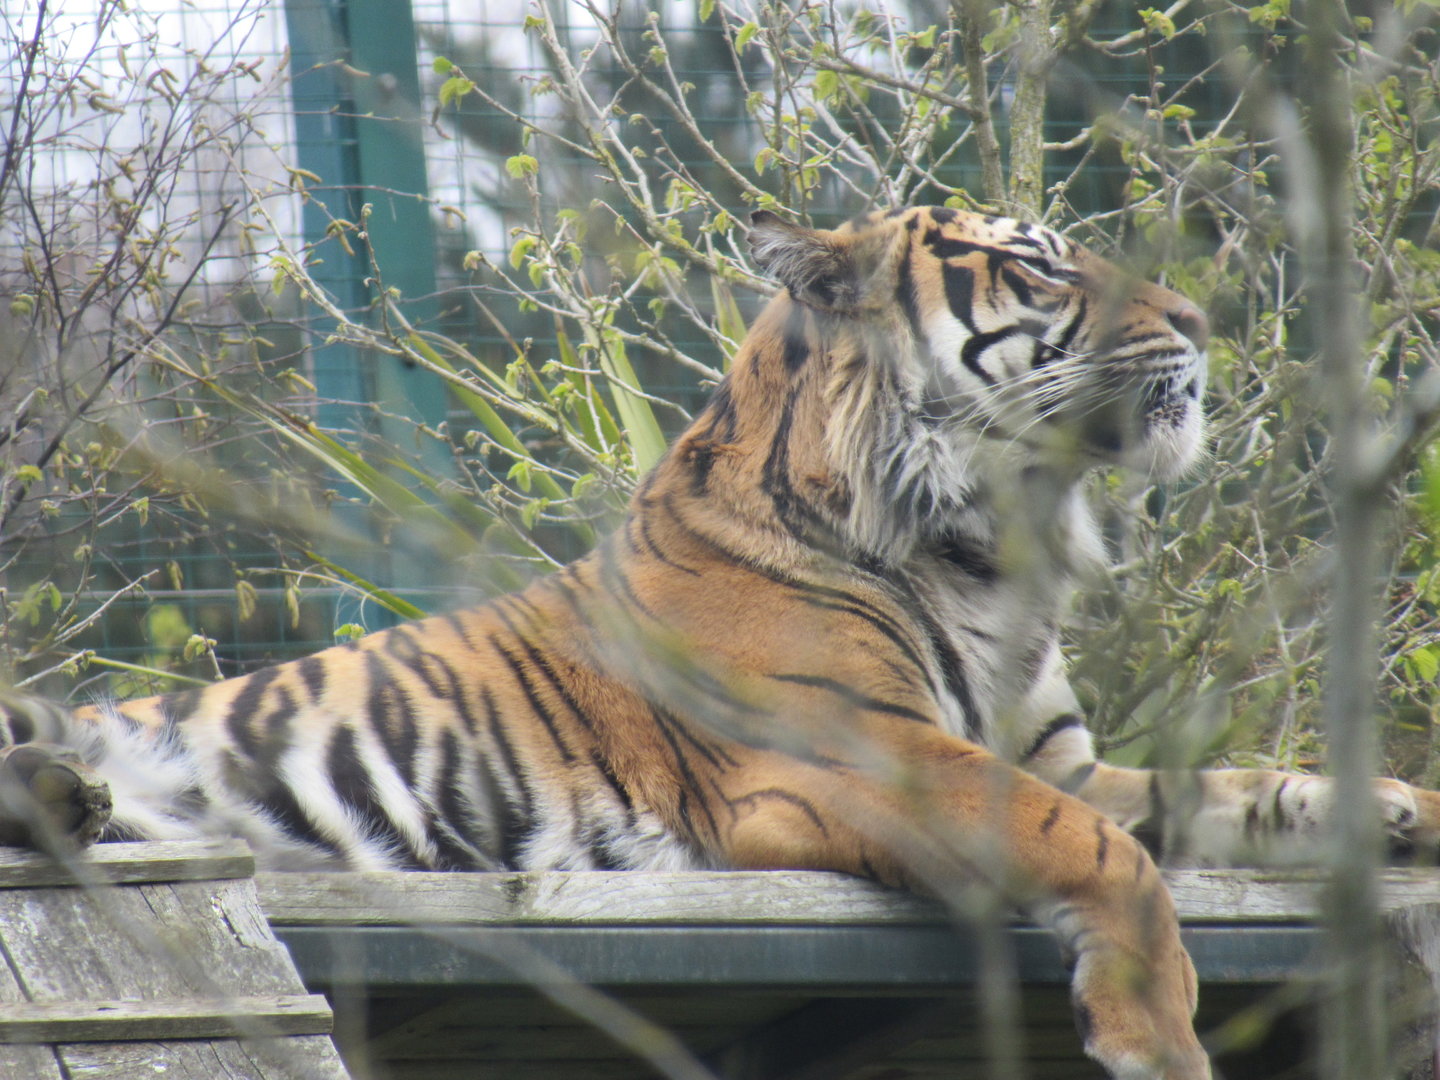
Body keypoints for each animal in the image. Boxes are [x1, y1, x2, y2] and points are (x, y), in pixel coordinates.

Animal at [4, 204, 1440, 1080]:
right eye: (1038, 267)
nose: (1199, 322)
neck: (986, 544)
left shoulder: (1067, 758)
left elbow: (1230, 791)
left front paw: (1400, 809)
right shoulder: (862, 758)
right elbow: (1109, 857)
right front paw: (1157, 1039)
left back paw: (78, 800)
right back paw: (68, 791)